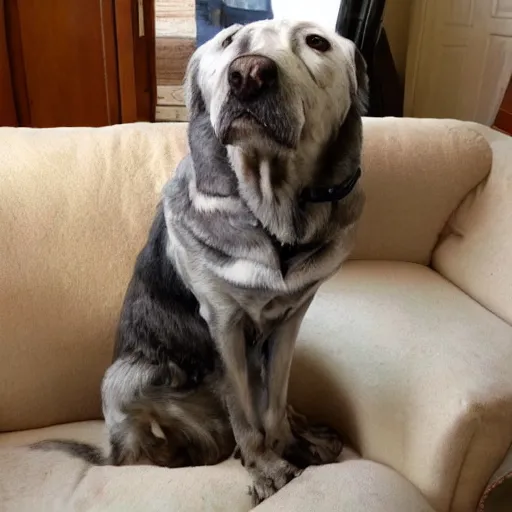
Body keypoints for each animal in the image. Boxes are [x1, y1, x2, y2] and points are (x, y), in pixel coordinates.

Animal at [33, 19, 368, 504]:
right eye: (228, 41)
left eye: (317, 42)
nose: (248, 75)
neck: (272, 211)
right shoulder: (223, 323)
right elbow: (245, 415)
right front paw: (266, 468)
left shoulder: (290, 320)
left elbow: (275, 401)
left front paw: (287, 444)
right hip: (123, 378)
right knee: (135, 454)